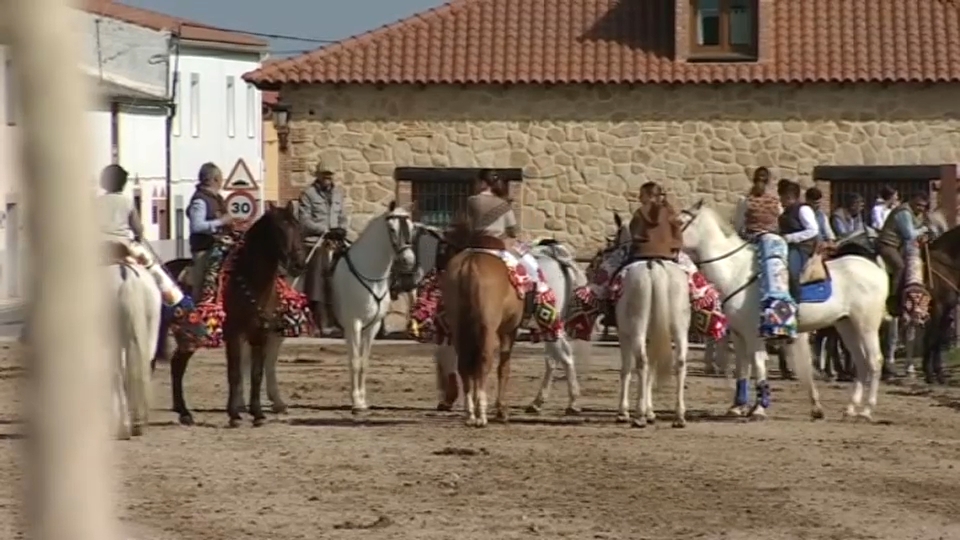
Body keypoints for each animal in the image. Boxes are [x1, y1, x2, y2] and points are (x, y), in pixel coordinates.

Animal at [330, 202, 416, 414]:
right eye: (392, 229)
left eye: (412, 228)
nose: (408, 261)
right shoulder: (354, 324)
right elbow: (355, 361)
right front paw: (355, 402)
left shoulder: (372, 326)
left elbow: (364, 361)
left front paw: (361, 400)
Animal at [616, 260, 688, 428]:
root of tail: (655, 267)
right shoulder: (652, 339)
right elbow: (651, 372)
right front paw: (650, 411)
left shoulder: (624, 336)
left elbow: (626, 370)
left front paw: (624, 412)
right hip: (680, 328)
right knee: (680, 363)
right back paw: (679, 416)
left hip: (638, 327)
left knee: (641, 363)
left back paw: (639, 415)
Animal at [680, 200, 888, 420]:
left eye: (679, 223)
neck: (737, 272)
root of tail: (877, 270)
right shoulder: (738, 334)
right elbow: (742, 367)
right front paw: (737, 406)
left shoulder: (754, 334)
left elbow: (758, 364)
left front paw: (759, 408)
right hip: (846, 325)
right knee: (861, 362)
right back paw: (851, 408)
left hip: (866, 326)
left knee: (874, 361)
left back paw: (867, 410)